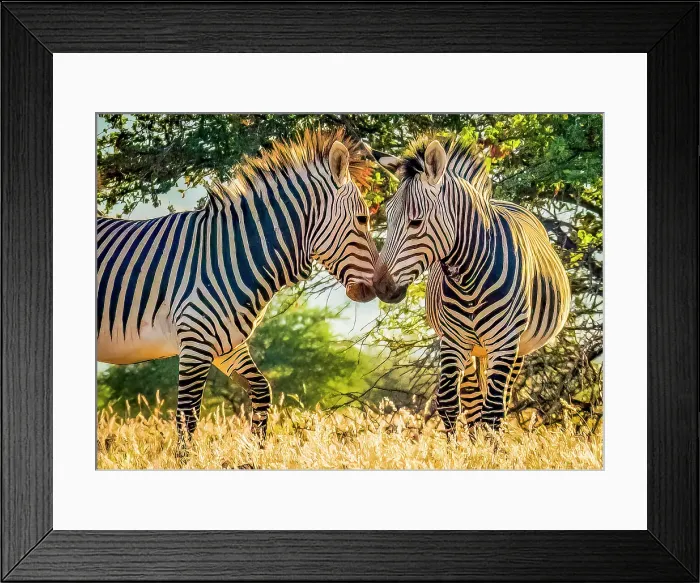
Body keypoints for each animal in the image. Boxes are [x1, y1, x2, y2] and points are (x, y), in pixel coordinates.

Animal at [97, 129, 378, 444]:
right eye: (362, 219)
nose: (381, 287)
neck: (233, 254)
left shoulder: (226, 343)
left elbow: (262, 390)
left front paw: (256, 449)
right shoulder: (194, 341)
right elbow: (187, 420)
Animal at [371, 137, 570, 434]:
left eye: (416, 222)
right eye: (387, 216)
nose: (381, 286)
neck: (468, 280)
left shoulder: (505, 342)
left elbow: (494, 411)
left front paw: (492, 446)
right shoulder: (452, 340)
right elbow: (448, 403)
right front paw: (460, 447)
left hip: (516, 348)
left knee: (499, 401)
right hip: (469, 348)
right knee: (473, 401)